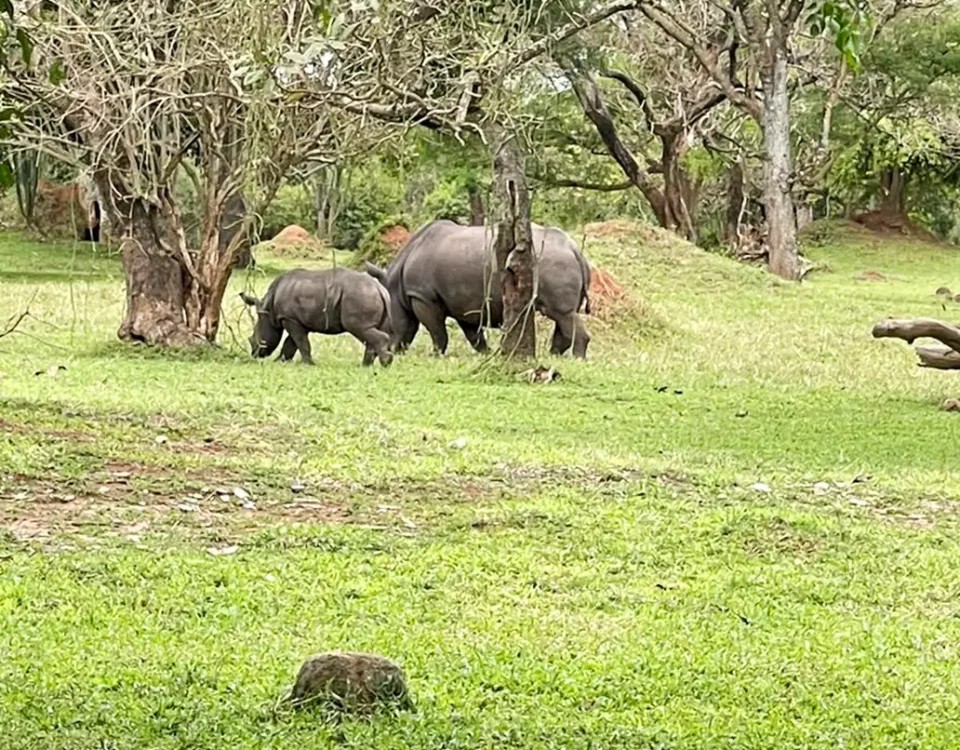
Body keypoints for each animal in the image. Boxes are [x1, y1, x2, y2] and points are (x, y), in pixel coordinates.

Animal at [240, 267, 393, 366]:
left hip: (359, 296)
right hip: (367, 296)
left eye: (254, 339)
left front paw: (308, 364)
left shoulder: (289, 318)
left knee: (360, 329)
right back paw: (366, 365)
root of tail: (380, 289)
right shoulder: (296, 320)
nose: (254, 353)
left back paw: (384, 363)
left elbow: (301, 342)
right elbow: (292, 343)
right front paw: (280, 361)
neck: (269, 308)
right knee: (370, 331)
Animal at [365, 220, 592, 358]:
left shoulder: (423, 296)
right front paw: (487, 353)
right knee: (564, 316)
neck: (395, 283)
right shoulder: (462, 301)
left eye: (387, 325)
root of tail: (575, 249)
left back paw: (576, 360)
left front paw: (436, 355)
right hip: (559, 262)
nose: (391, 351)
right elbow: (473, 335)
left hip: (554, 263)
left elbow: (436, 331)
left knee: (561, 313)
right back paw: (555, 357)